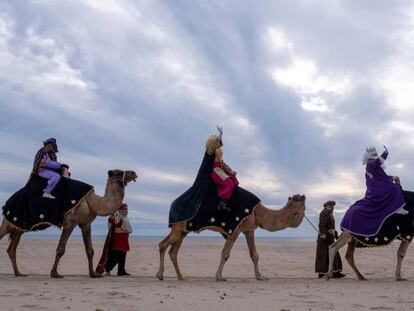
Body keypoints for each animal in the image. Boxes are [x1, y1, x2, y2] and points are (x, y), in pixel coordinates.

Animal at [0, 169, 137, 280]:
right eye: (119, 172)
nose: (133, 173)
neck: (93, 202)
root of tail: (7, 204)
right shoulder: (70, 222)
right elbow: (61, 249)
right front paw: (54, 274)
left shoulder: (86, 224)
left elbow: (90, 250)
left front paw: (93, 274)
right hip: (9, 222)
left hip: (17, 228)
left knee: (12, 249)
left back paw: (19, 273)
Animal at [157, 196, 306, 284]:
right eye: (302, 205)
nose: (304, 196)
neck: (258, 212)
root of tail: (172, 204)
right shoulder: (235, 229)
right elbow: (225, 253)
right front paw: (219, 277)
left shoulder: (249, 230)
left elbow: (255, 255)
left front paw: (260, 277)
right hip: (178, 227)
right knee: (163, 244)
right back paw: (160, 275)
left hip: (183, 231)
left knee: (173, 251)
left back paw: (181, 277)